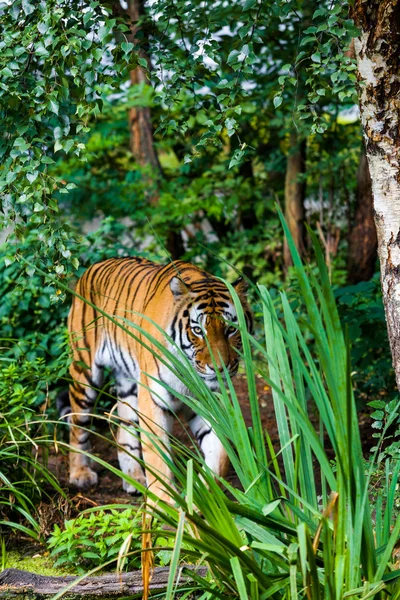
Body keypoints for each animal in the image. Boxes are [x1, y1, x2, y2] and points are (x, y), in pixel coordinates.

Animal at [67, 255, 252, 504]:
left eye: (231, 329)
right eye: (198, 330)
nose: (219, 368)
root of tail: (92, 267)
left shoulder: (209, 403)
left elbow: (220, 455)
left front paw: (204, 496)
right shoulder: (153, 400)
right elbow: (158, 460)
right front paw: (166, 504)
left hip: (129, 385)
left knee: (124, 428)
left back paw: (134, 478)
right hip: (85, 374)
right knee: (77, 424)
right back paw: (80, 474)